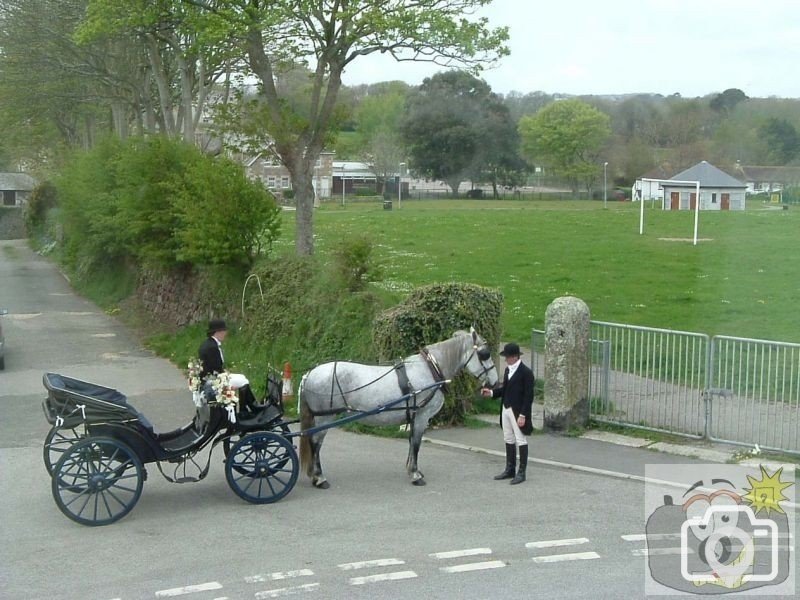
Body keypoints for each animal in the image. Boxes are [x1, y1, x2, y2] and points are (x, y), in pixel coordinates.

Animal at [300, 328, 500, 488]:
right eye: (484, 354)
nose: (495, 383)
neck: (430, 370)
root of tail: (309, 374)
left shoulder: (414, 416)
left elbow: (412, 443)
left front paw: (411, 470)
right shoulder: (421, 416)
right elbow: (417, 444)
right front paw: (416, 475)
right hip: (325, 417)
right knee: (316, 443)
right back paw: (320, 478)